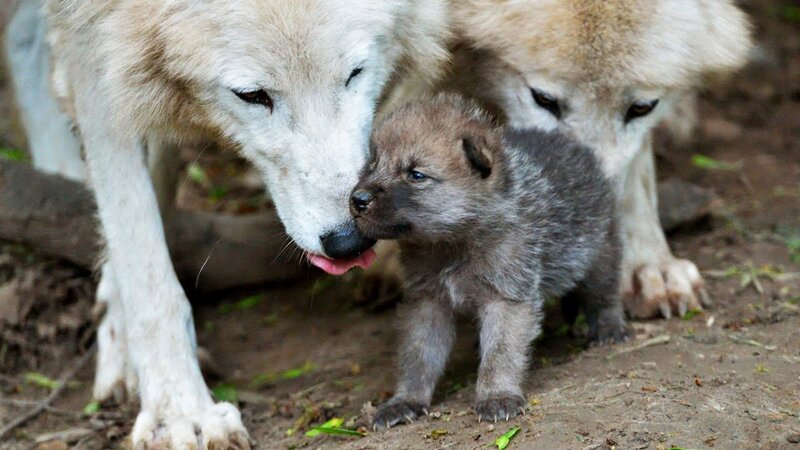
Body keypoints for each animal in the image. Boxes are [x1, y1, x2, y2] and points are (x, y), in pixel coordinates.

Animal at [4, 0, 449, 447]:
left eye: (355, 72)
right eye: (252, 95)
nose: (349, 240)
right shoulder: (94, 38)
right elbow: (144, 263)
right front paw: (180, 412)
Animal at [351, 94, 629, 427]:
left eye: (416, 174)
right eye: (372, 165)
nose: (357, 200)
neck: (453, 243)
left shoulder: (506, 299)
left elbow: (501, 352)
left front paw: (496, 394)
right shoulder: (427, 303)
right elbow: (418, 354)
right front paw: (405, 399)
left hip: (599, 252)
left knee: (604, 293)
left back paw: (609, 327)